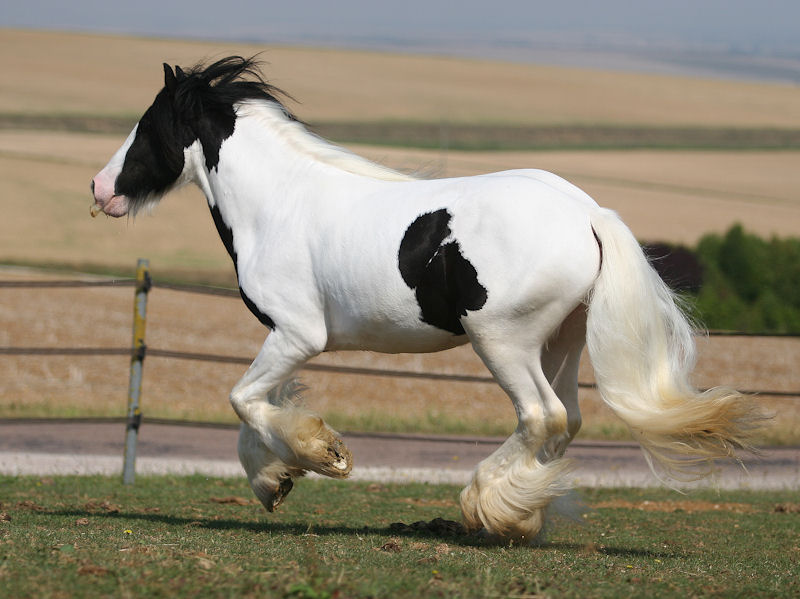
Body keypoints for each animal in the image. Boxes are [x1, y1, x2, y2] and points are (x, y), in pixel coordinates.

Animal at [90, 57, 764, 544]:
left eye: (146, 126)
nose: (99, 189)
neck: (278, 204)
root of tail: (588, 215)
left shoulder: (297, 334)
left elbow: (244, 399)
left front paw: (319, 456)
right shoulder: (289, 341)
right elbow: (257, 404)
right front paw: (275, 478)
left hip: (503, 341)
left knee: (540, 416)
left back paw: (486, 506)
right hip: (562, 342)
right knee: (567, 419)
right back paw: (521, 511)